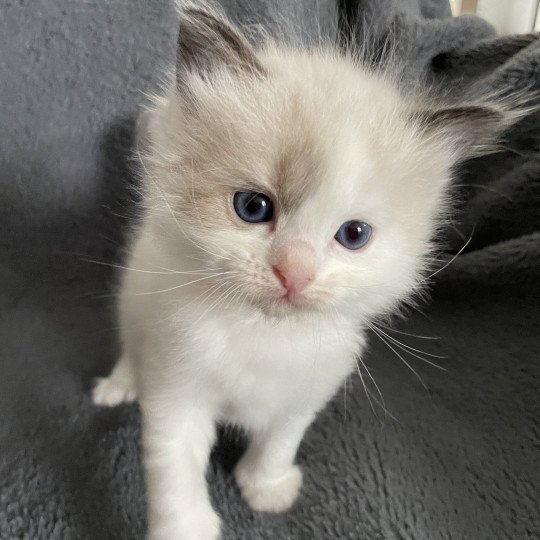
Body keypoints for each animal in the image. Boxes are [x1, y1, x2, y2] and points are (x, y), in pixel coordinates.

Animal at [92, 2, 516, 536]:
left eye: (354, 235)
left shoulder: (308, 390)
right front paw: (187, 528)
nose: (294, 274)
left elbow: (279, 442)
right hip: (136, 303)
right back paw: (118, 387)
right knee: (130, 348)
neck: (264, 336)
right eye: (253, 207)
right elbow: (174, 473)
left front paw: (265, 489)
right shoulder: (176, 388)